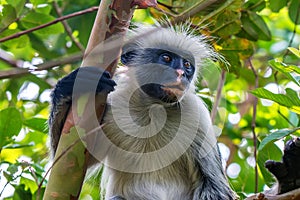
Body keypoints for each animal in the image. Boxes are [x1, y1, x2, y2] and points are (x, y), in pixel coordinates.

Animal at [48, 23, 237, 200]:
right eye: (166, 58)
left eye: (187, 65)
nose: (181, 73)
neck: (152, 109)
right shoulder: (110, 108)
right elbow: (67, 166)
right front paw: (68, 86)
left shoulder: (196, 114)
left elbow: (214, 186)